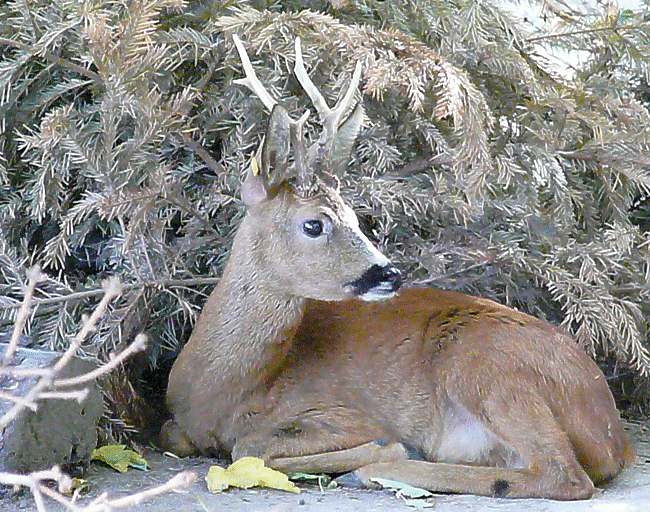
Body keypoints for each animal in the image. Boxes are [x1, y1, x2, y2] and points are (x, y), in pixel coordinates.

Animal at [159, 36, 632, 500]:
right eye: (314, 223)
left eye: (354, 215)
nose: (388, 274)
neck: (226, 387)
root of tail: (614, 437)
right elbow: (178, 435)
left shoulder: (340, 411)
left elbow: (250, 447)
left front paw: (384, 449)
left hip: (485, 365)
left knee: (565, 475)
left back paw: (379, 471)